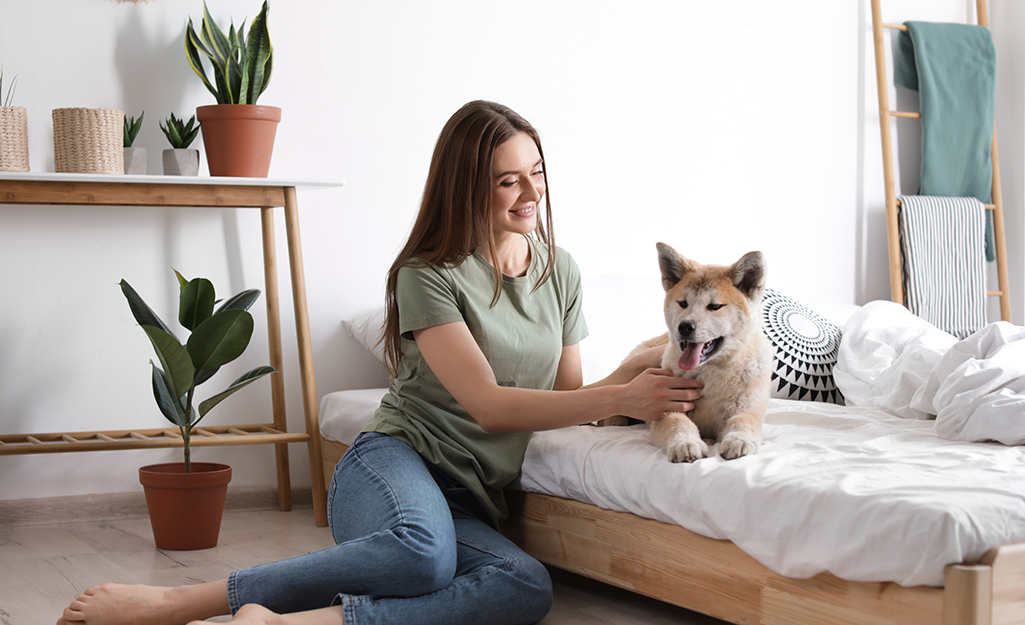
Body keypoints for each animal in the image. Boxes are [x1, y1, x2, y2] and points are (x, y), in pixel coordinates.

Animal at [598, 243, 770, 463]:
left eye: (714, 306)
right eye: (683, 303)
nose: (685, 327)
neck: (711, 374)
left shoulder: (747, 408)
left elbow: (743, 420)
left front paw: (739, 440)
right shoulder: (666, 407)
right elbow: (678, 422)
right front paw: (685, 444)